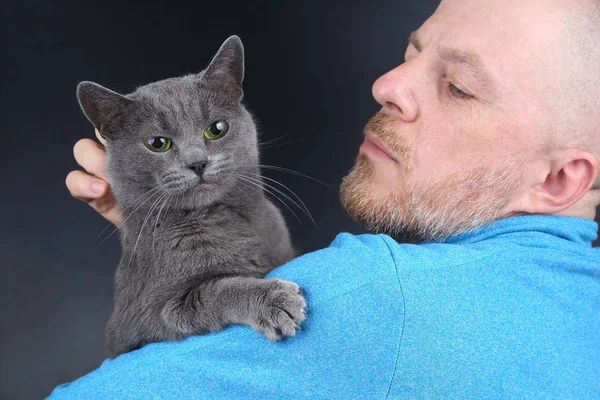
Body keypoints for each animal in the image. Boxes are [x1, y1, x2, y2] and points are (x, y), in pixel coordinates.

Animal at [76, 36, 304, 358]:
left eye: (217, 129)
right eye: (157, 143)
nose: (197, 162)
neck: (220, 218)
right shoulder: (156, 315)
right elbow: (217, 290)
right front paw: (275, 300)